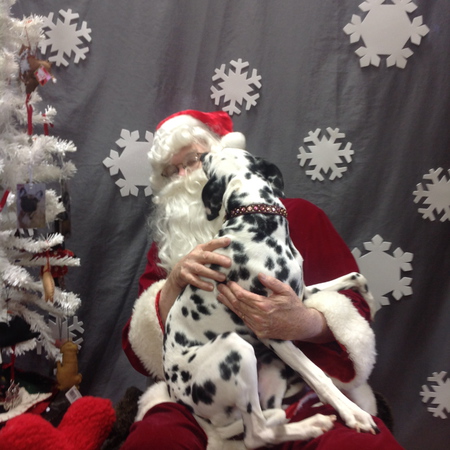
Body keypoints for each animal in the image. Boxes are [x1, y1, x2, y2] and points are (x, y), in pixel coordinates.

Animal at [163, 147, 378, 446]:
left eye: (211, 157)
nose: (204, 154)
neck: (257, 223)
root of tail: (176, 394)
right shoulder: (272, 330)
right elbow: (319, 375)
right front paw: (353, 413)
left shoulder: (298, 298)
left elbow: (356, 277)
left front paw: (371, 305)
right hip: (237, 348)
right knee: (256, 433)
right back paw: (311, 422)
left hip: (270, 368)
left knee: (264, 425)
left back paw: (308, 423)